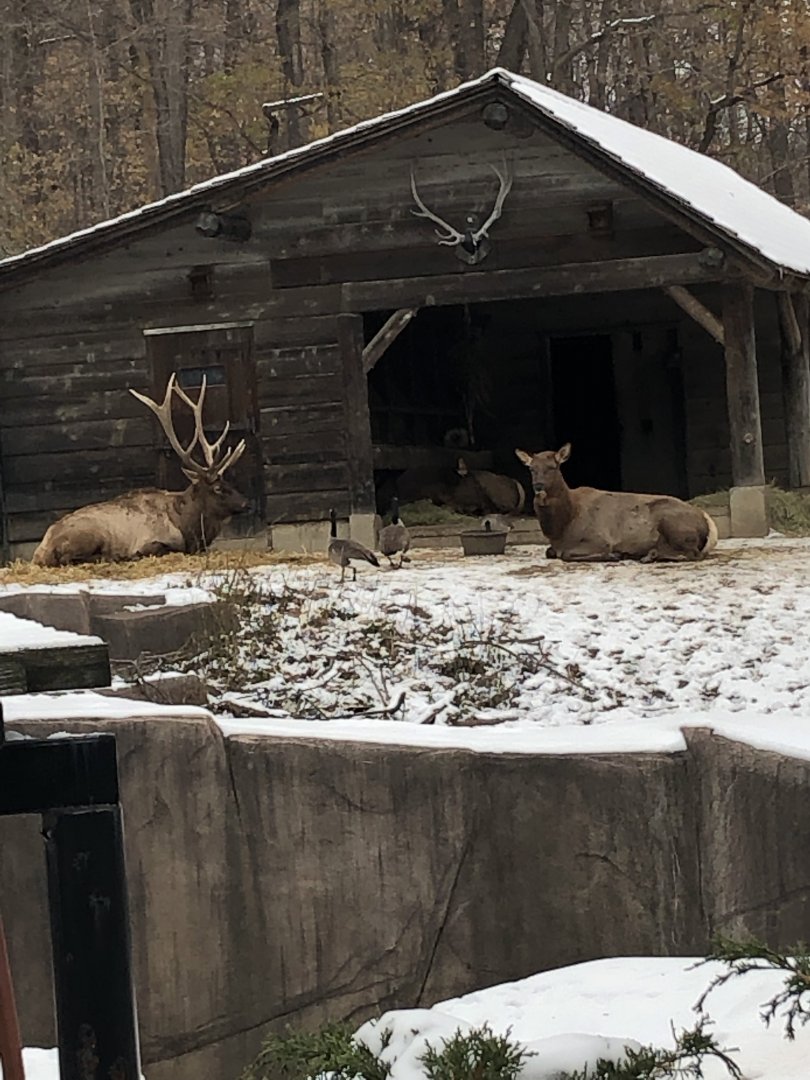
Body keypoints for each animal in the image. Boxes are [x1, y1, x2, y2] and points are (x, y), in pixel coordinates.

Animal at [32, 374, 249, 566]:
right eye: (218, 488)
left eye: (228, 482)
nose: (245, 503)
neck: (188, 526)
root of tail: (41, 551)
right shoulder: (151, 541)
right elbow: (162, 549)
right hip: (87, 535)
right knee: (70, 558)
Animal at [515, 443, 718, 563]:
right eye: (532, 468)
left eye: (552, 467)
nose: (538, 487)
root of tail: (707, 521)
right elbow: (549, 552)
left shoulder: (599, 539)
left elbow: (566, 554)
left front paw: (613, 554)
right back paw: (648, 554)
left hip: (674, 524)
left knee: (693, 554)